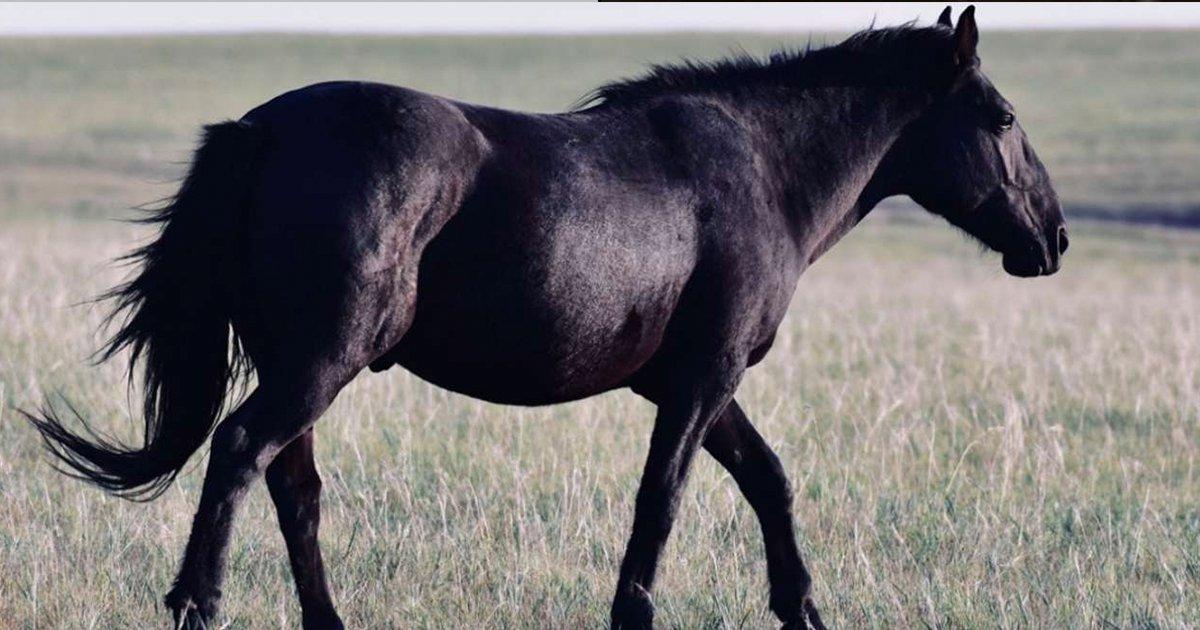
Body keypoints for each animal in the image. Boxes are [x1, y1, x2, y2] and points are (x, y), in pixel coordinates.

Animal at [27, 6, 1067, 629]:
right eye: (1003, 117)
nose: (1053, 239)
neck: (760, 168)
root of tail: (264, 129)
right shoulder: (703, 378)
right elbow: (664, 497)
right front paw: (636, 613)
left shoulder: (696, 381)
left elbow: (768, 481)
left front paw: (802, 607)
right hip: (319, 361)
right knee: (242, 454)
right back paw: (196, 604)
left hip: (300, 364)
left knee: (293, 489)